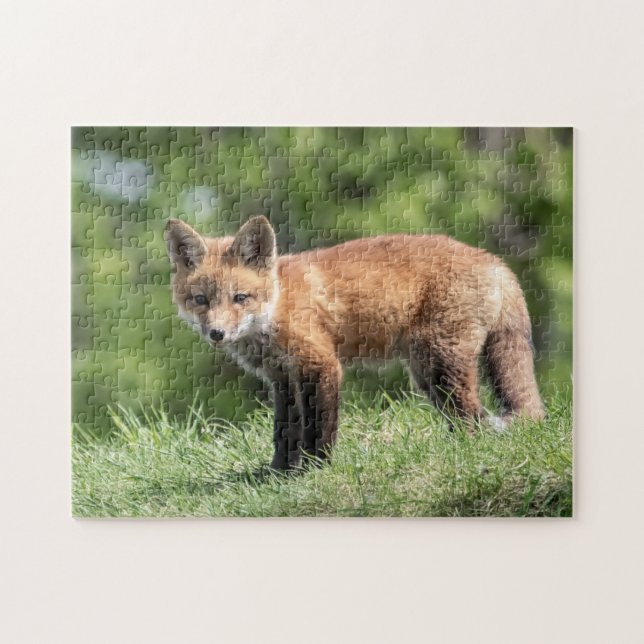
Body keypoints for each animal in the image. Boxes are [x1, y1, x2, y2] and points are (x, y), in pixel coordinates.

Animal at [165, 215, 544, 471]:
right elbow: (284, 432)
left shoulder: (320, 365)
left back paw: (461, 452)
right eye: (200, 300)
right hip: (428, 372)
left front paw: (315, 470)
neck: (277, 305)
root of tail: (494, 261)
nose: (217, 333)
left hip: (438, 363)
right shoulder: (282, 377)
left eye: (240, 297)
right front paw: (277, 473)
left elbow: (318, 428)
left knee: (472, 418)